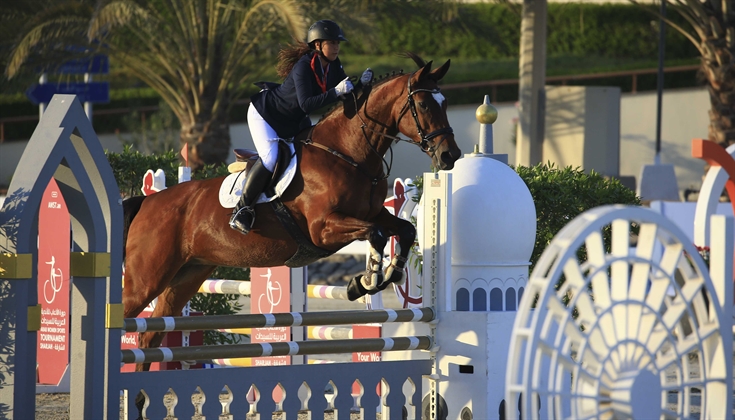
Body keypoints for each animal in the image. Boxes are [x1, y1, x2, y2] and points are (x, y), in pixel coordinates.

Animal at [122, 53, 461, 368]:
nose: (450, 156)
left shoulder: (374, 213)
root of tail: (148, 202)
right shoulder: (323, 229)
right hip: (147, 278)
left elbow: (405, 229)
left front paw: (390, 273)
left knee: (150, 337)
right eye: (424, 105)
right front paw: (363, 282)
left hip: (186, 276)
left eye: (445, 103)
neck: (347, 154)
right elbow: (376, 235)